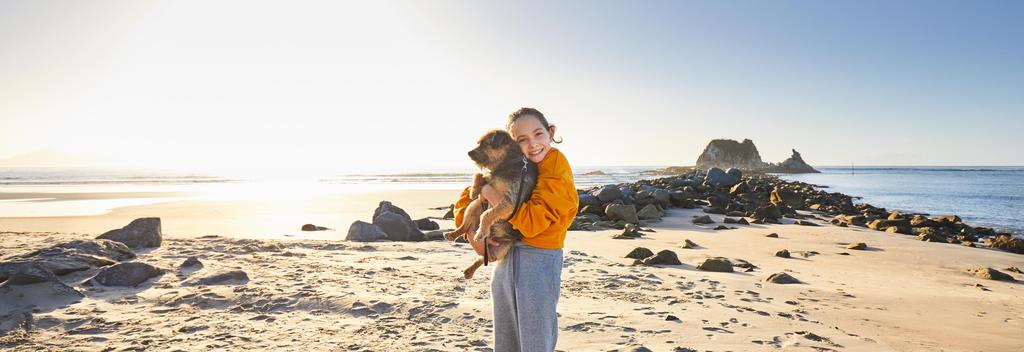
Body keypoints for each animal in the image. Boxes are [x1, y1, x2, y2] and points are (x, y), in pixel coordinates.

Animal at [448, 129, 544, 278]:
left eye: (485, 144)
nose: (469, 152)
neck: (508, 162)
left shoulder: (511, 201)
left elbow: (488, 214)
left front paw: (481, 231)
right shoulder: (490, 179)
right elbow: (479, 175)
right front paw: (474, 190)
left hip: (502, 249)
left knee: (485, 257)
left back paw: (471, 267)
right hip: (474, 206)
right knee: (465, 226)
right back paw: (453, 234)